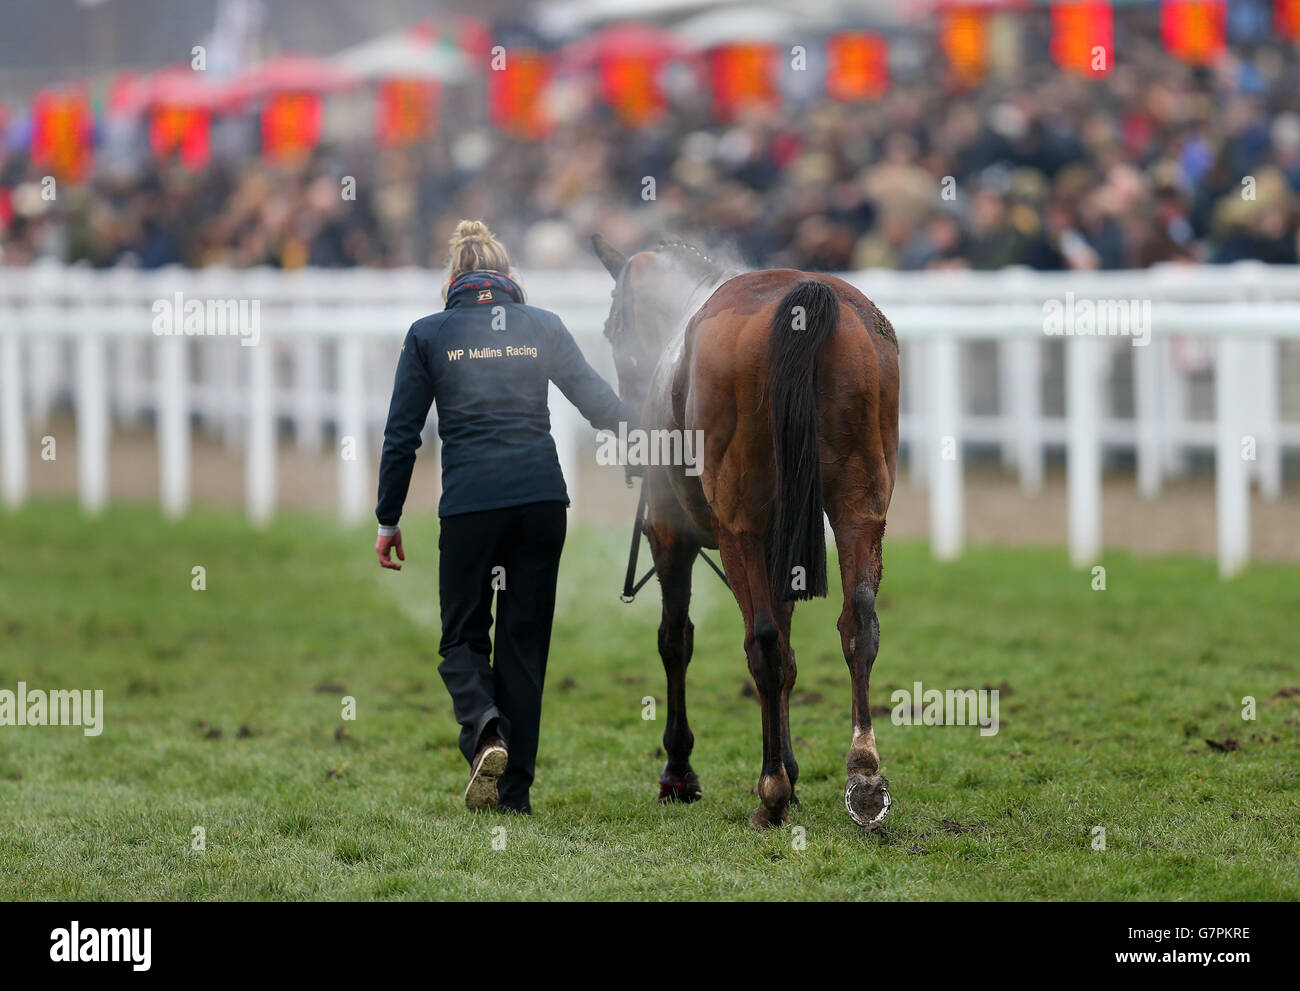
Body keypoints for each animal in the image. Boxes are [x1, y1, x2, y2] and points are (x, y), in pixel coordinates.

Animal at [591, 235, 900, 829]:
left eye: (613, 328)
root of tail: (806, 297)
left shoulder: (671, 536)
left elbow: (676, 641)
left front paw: (680, 772)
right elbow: (794, 651)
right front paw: (794, 771)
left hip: (738, 525)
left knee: (763, 643)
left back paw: (770, 793)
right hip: (861, 505)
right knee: (858, 626)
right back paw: (864, 773)